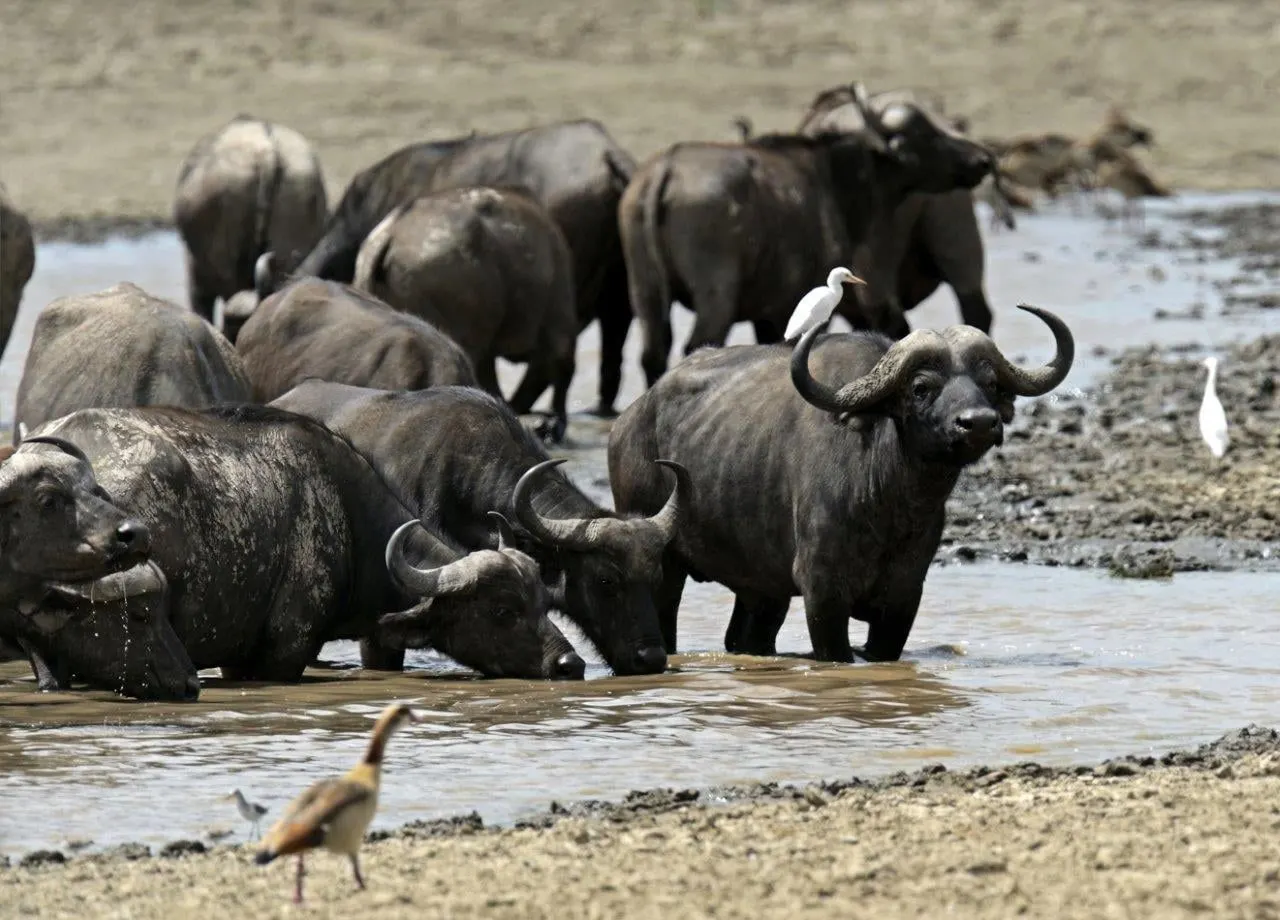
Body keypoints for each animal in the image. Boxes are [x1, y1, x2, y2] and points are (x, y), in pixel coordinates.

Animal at [607, 305, 1073, 662]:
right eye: (921, 387)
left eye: (990, 383)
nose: (979, 423)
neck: (888, 504)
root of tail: (631, 419)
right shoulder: (823, 593)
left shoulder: (904, 596)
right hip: (666, 566)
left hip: (762, 589)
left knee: (746, 636)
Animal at [619, 84, 993, 386]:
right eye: (925, 133)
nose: (984, 158)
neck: (833, 177)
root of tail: (666, 168)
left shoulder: (767, 312)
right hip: (716, 295)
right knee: (696, 343)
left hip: (645, 289)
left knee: (653, 353)